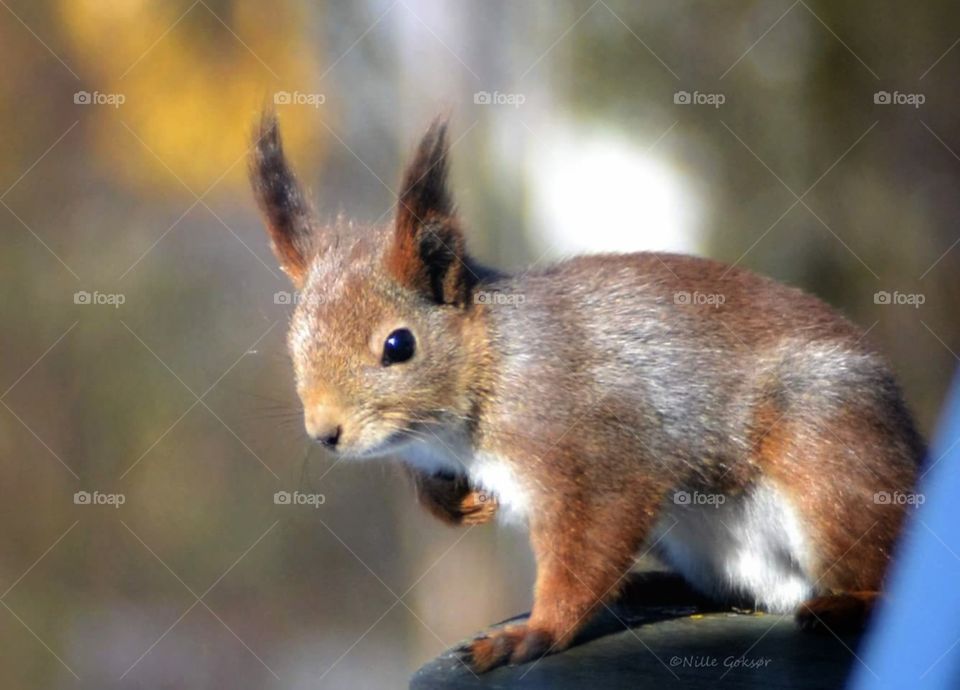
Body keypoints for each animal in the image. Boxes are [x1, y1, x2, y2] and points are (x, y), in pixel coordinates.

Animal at [249, 111, 926, 673]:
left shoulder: (592, 454)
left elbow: (587, 543)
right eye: (293, 343)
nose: (326, 434)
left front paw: (535, 634)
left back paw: (847, 601)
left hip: (828, 459)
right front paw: (457, 504)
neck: (488, 372)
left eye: (398, 345)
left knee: (881, 556)